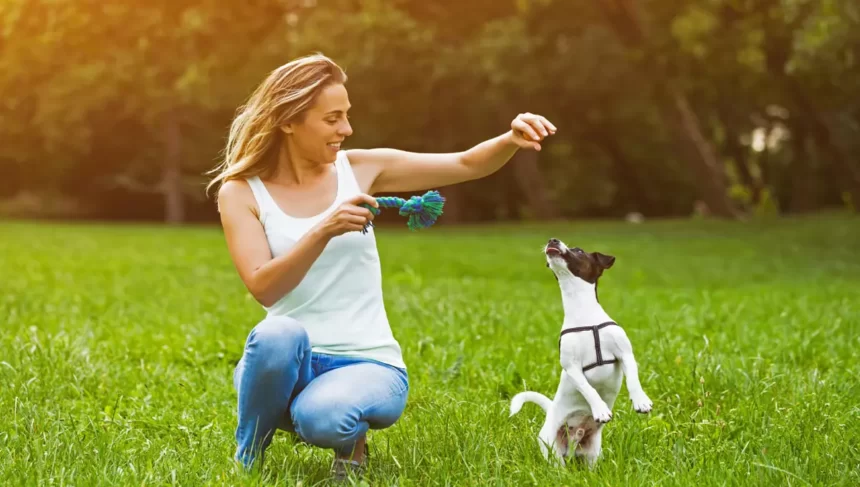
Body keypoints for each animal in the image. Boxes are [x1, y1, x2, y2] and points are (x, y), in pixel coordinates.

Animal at [510, 238, 652, 468]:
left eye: (579, 251)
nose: (552, 239)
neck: (583, 312)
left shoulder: (626, 354)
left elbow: (633, 380)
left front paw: (641, 401)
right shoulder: (572, 367)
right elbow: (588, 389)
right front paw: (600, 409)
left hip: (593, 451)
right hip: (551, 448)